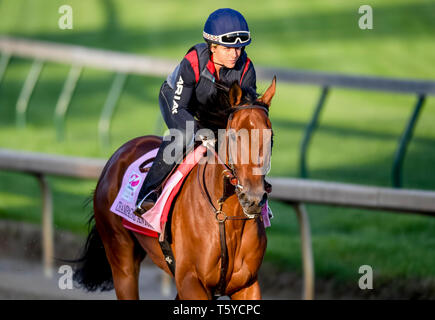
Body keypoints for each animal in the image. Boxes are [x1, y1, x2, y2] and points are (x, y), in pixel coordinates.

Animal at [71, 79, 276, 298]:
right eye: (236, 136)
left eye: (270, 137)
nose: (253, 198)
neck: (224, 215)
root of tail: (118, 155)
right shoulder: (190, 281)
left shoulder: (247, 284)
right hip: (121, 258)